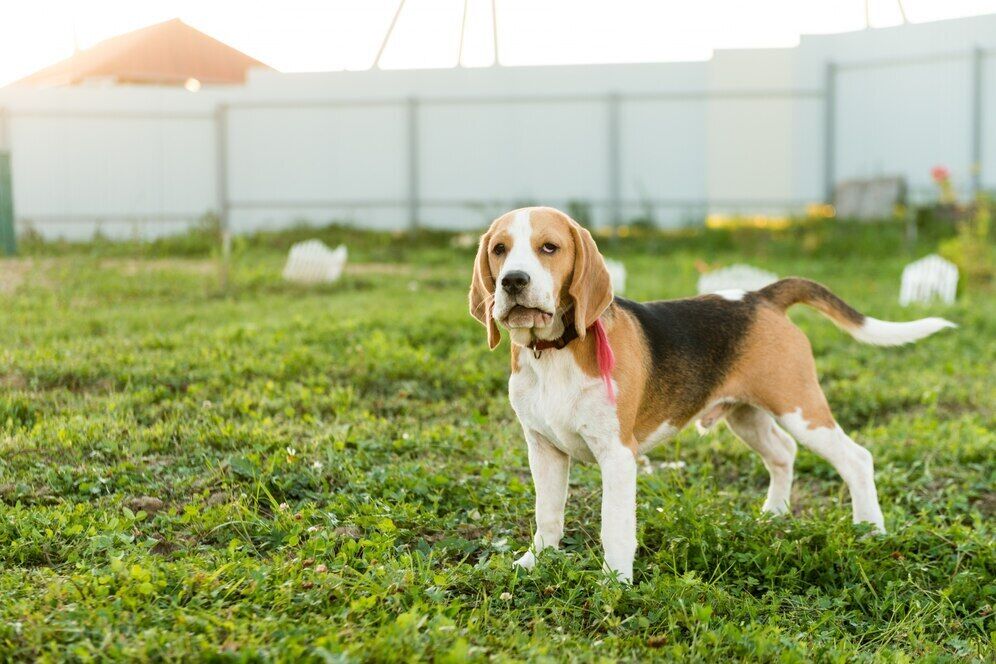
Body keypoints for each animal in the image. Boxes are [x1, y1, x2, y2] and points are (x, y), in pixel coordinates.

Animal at [470, 206, 952, 580]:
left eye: (549, 248)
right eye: (499, 250)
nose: (512, 282)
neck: (554, 352)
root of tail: (762, 296)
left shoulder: (617, 455)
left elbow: (615, 526)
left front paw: (615, 581)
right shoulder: (543, 448)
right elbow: (547, 513)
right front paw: (536, 562)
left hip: (799, 407)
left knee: (856, 458)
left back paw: (870, 528)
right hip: (745, 414)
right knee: (784, 453)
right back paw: (774, 513)